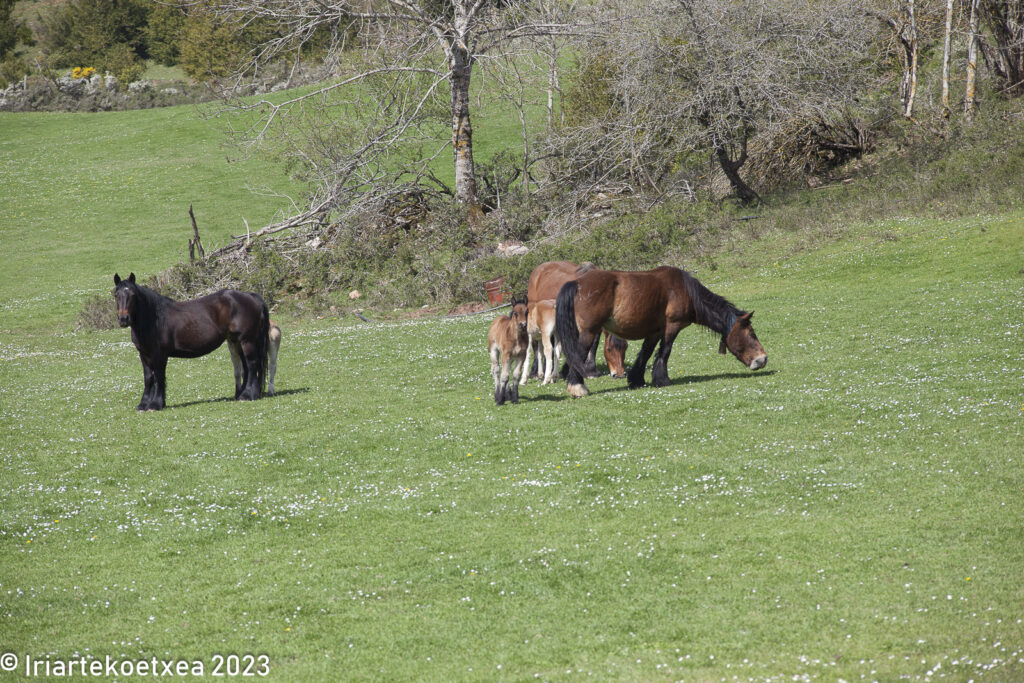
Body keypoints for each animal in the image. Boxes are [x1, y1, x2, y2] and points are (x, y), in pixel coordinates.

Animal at [113, 272, 270, 411]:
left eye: (132, 295)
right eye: (116, 295)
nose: (123, 319)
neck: (153, 319)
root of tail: (251, 297)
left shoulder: (159, 355)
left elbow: (158, 377)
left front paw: (155, 404)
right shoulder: (144, 354)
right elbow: (148, 378)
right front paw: (143, 404)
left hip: (247, 341)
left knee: (252, 365)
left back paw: (248, 395)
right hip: (237, 341)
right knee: (246, 367)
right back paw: (243, 394)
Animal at [557, 266, 765, 397]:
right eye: (752, 334)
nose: (762, 359)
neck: (686, 290)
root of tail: (577, 283)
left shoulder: (655, 331)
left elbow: (646, 353)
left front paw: (637, 380)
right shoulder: (672, 326)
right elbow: (665, 352)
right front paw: (662, 379)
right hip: (589, 332)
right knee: (578, 354)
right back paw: (577, 387)